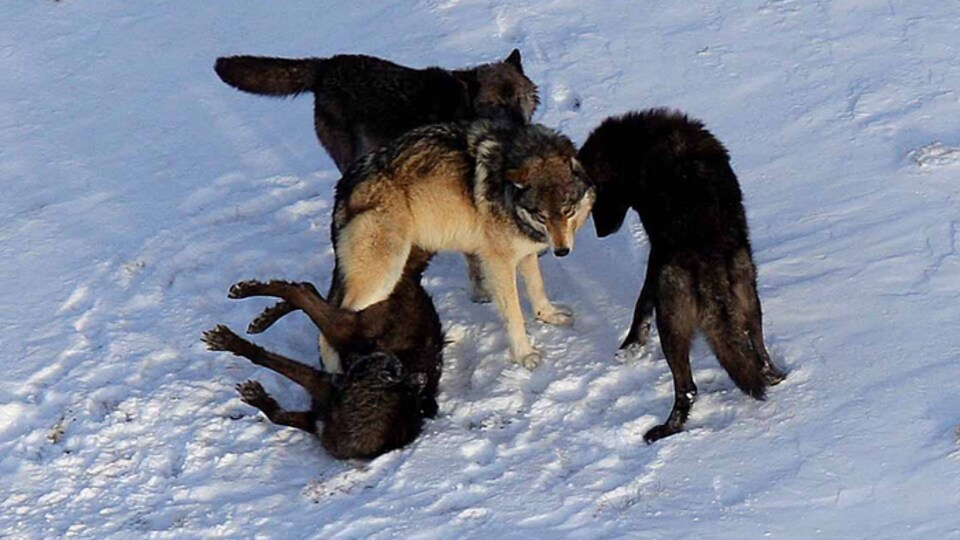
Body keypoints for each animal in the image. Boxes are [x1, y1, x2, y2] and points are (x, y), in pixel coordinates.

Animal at [204, 249, 444, 460]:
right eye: (397, 369)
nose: (392, 358)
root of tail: (413, 278)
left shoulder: (318, 399)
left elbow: (277, 411)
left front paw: (250, 384)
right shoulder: (324, 389)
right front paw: (229, 341)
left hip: (342, 329)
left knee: (304, 292)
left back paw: (256, 307)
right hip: (345, 328)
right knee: (304, 291)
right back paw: (256, 303)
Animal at [576, 109, 788, 442]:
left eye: (596, 197)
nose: (600, 232)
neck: (642, 145)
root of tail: (710, 262)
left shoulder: (656, 257)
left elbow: (641, 304)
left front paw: (631, 345)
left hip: (672, 327)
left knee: (687, 388)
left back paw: (664, 430)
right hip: (751, 303)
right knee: (760, 354)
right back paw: (776, 377)